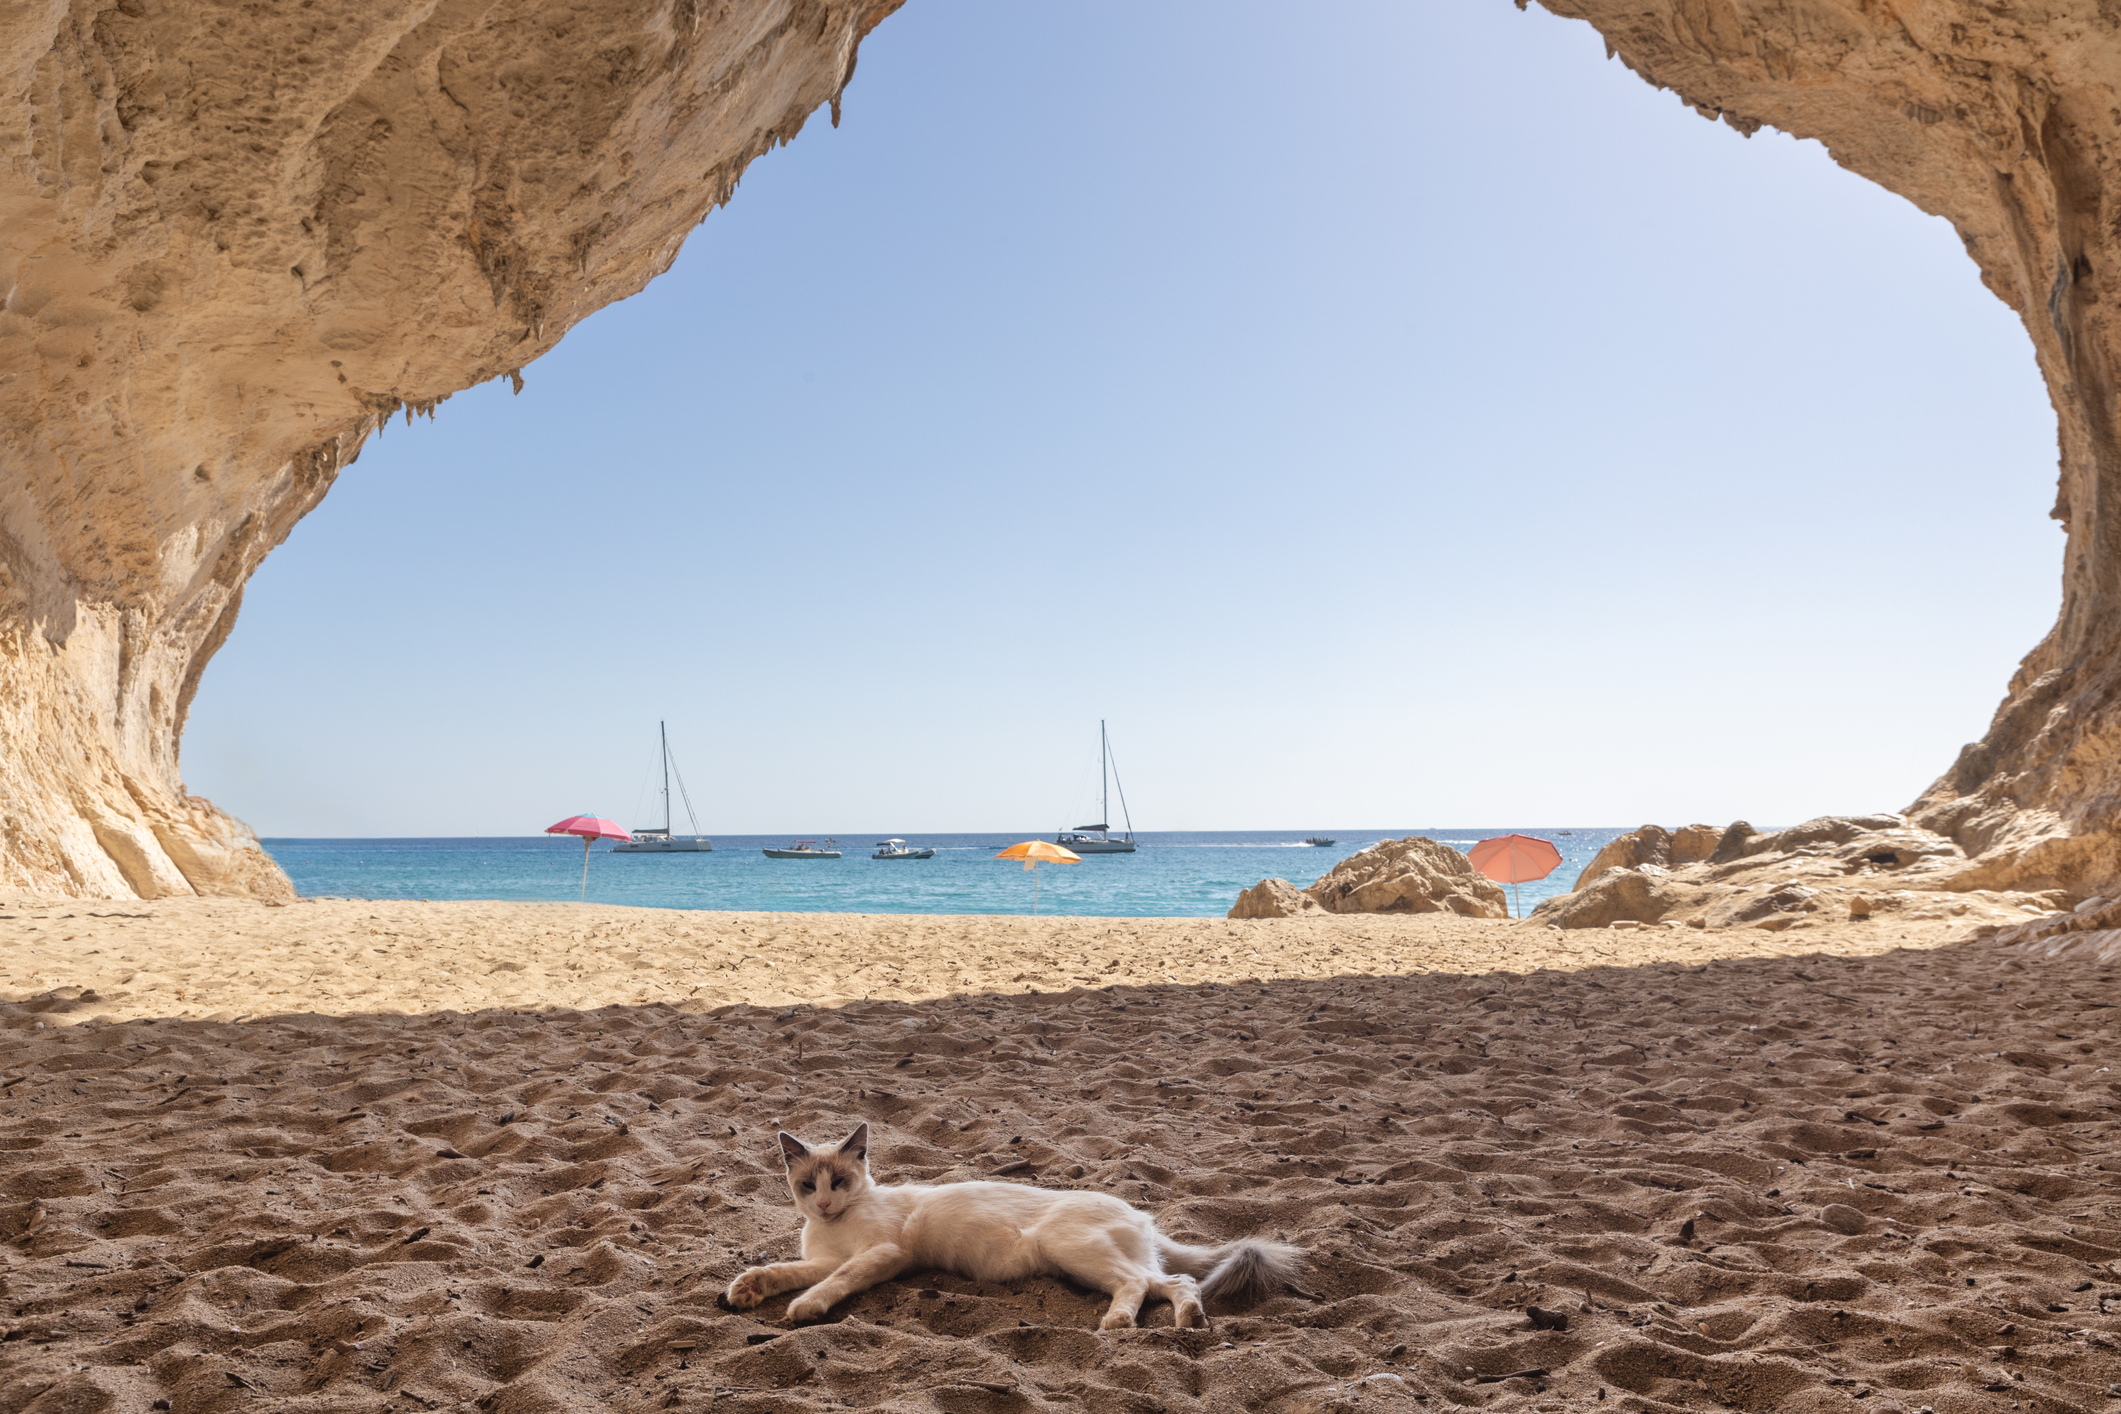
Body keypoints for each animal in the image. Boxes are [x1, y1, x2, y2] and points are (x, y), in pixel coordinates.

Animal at [721, 1127, 1298, 1331]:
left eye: (838, 1181)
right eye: (807, 1185)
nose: (823, 1204)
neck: (833, 1230)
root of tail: (1143, 1216)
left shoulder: (879, 1255)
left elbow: (831, 1281)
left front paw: (805, 1307)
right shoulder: (821, 1257)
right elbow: (781, 1269)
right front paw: (746, 1290)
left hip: (1067, 1247)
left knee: (1146, 1283)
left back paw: (1118, 1323)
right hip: (1103, 1259)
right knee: (1176, 1282)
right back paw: (1183, 1319)